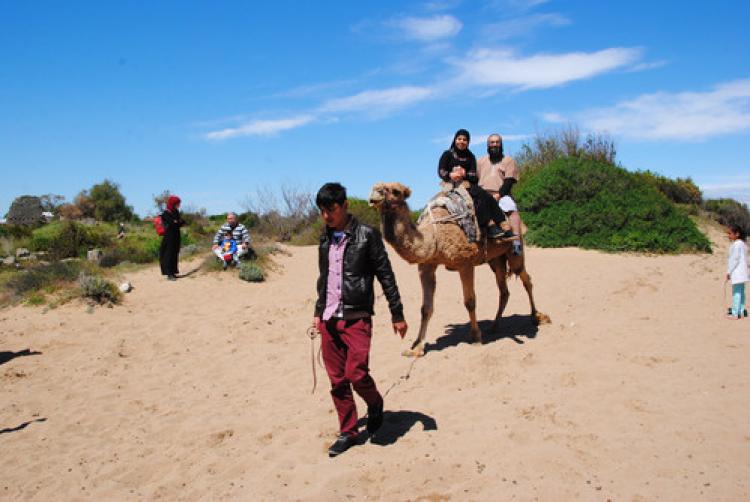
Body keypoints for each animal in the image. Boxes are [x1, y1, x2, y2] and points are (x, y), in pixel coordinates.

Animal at [370, 180, 552, 356]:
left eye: (396, 191)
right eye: (375, 186)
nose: (374, 195)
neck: (435, 236)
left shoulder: (465, 263)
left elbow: (470, 302)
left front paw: (476, 337)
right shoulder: (426, 266)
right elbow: (425, 308)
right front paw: (417, 347)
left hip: (515, 249)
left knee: (526, 280)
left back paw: (538, 317)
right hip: (496, 259)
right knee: (504, 291)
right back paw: (494, 326)